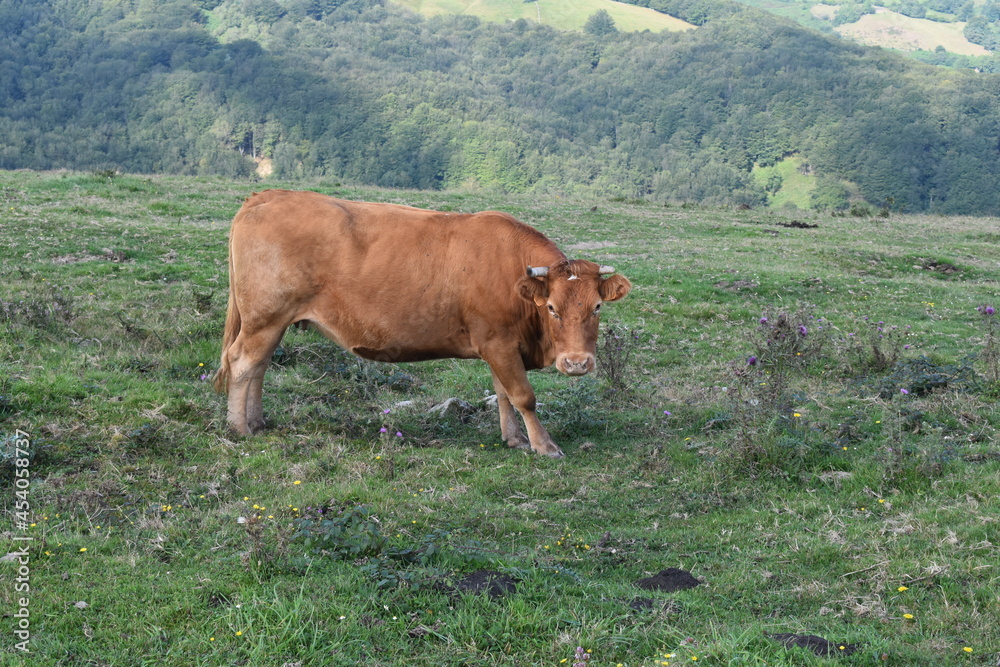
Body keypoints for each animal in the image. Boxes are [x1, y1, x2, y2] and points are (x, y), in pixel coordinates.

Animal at [213, 190, 631, 458]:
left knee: (259, 366)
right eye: (552, 308)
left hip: (270, 322)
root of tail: (268, 195)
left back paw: (257, 421)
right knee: (242, 363)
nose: (577, 363)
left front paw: (513, 439)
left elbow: (504, 394)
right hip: (265, 317)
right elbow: (523, 396)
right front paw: (545, 446)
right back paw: (239, 428)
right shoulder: (497, 342)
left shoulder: (501, 344)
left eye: (597, 306)